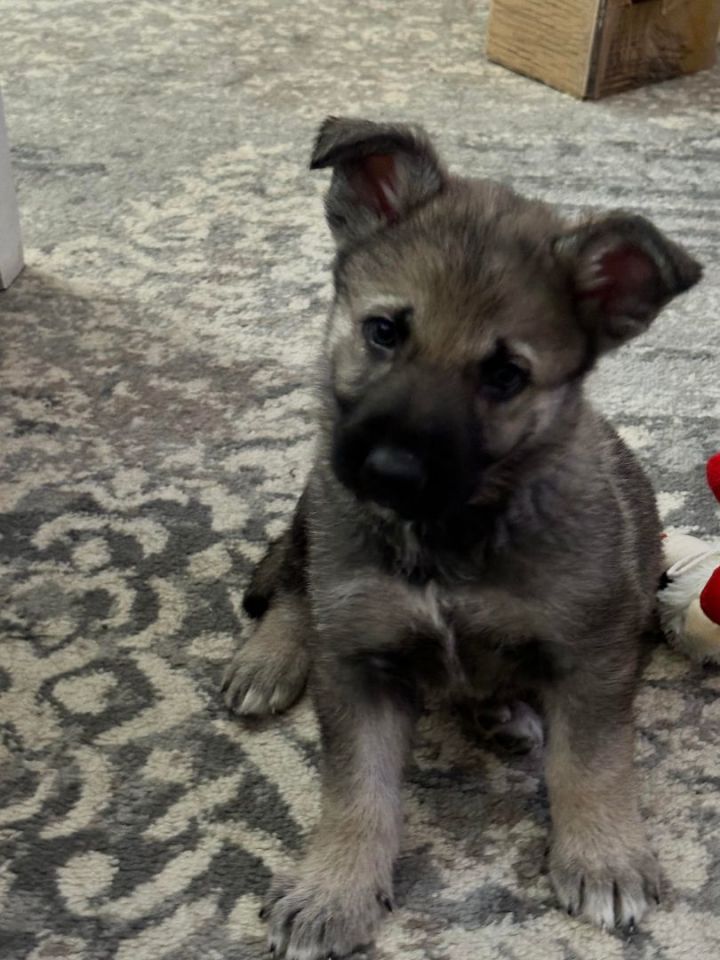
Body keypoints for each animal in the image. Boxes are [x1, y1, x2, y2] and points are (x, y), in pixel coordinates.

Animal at [222, 116, 700, 956]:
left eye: (505, 375)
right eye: (384, 331)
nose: (389, 470)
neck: (449, 535)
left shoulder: (595, 655)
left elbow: (594, 763)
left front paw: (604, 855)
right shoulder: (359, 661)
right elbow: (357, 791)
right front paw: (334, 886)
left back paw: (504, 712)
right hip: (320, 513)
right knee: (297, 578)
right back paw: (271, 654)